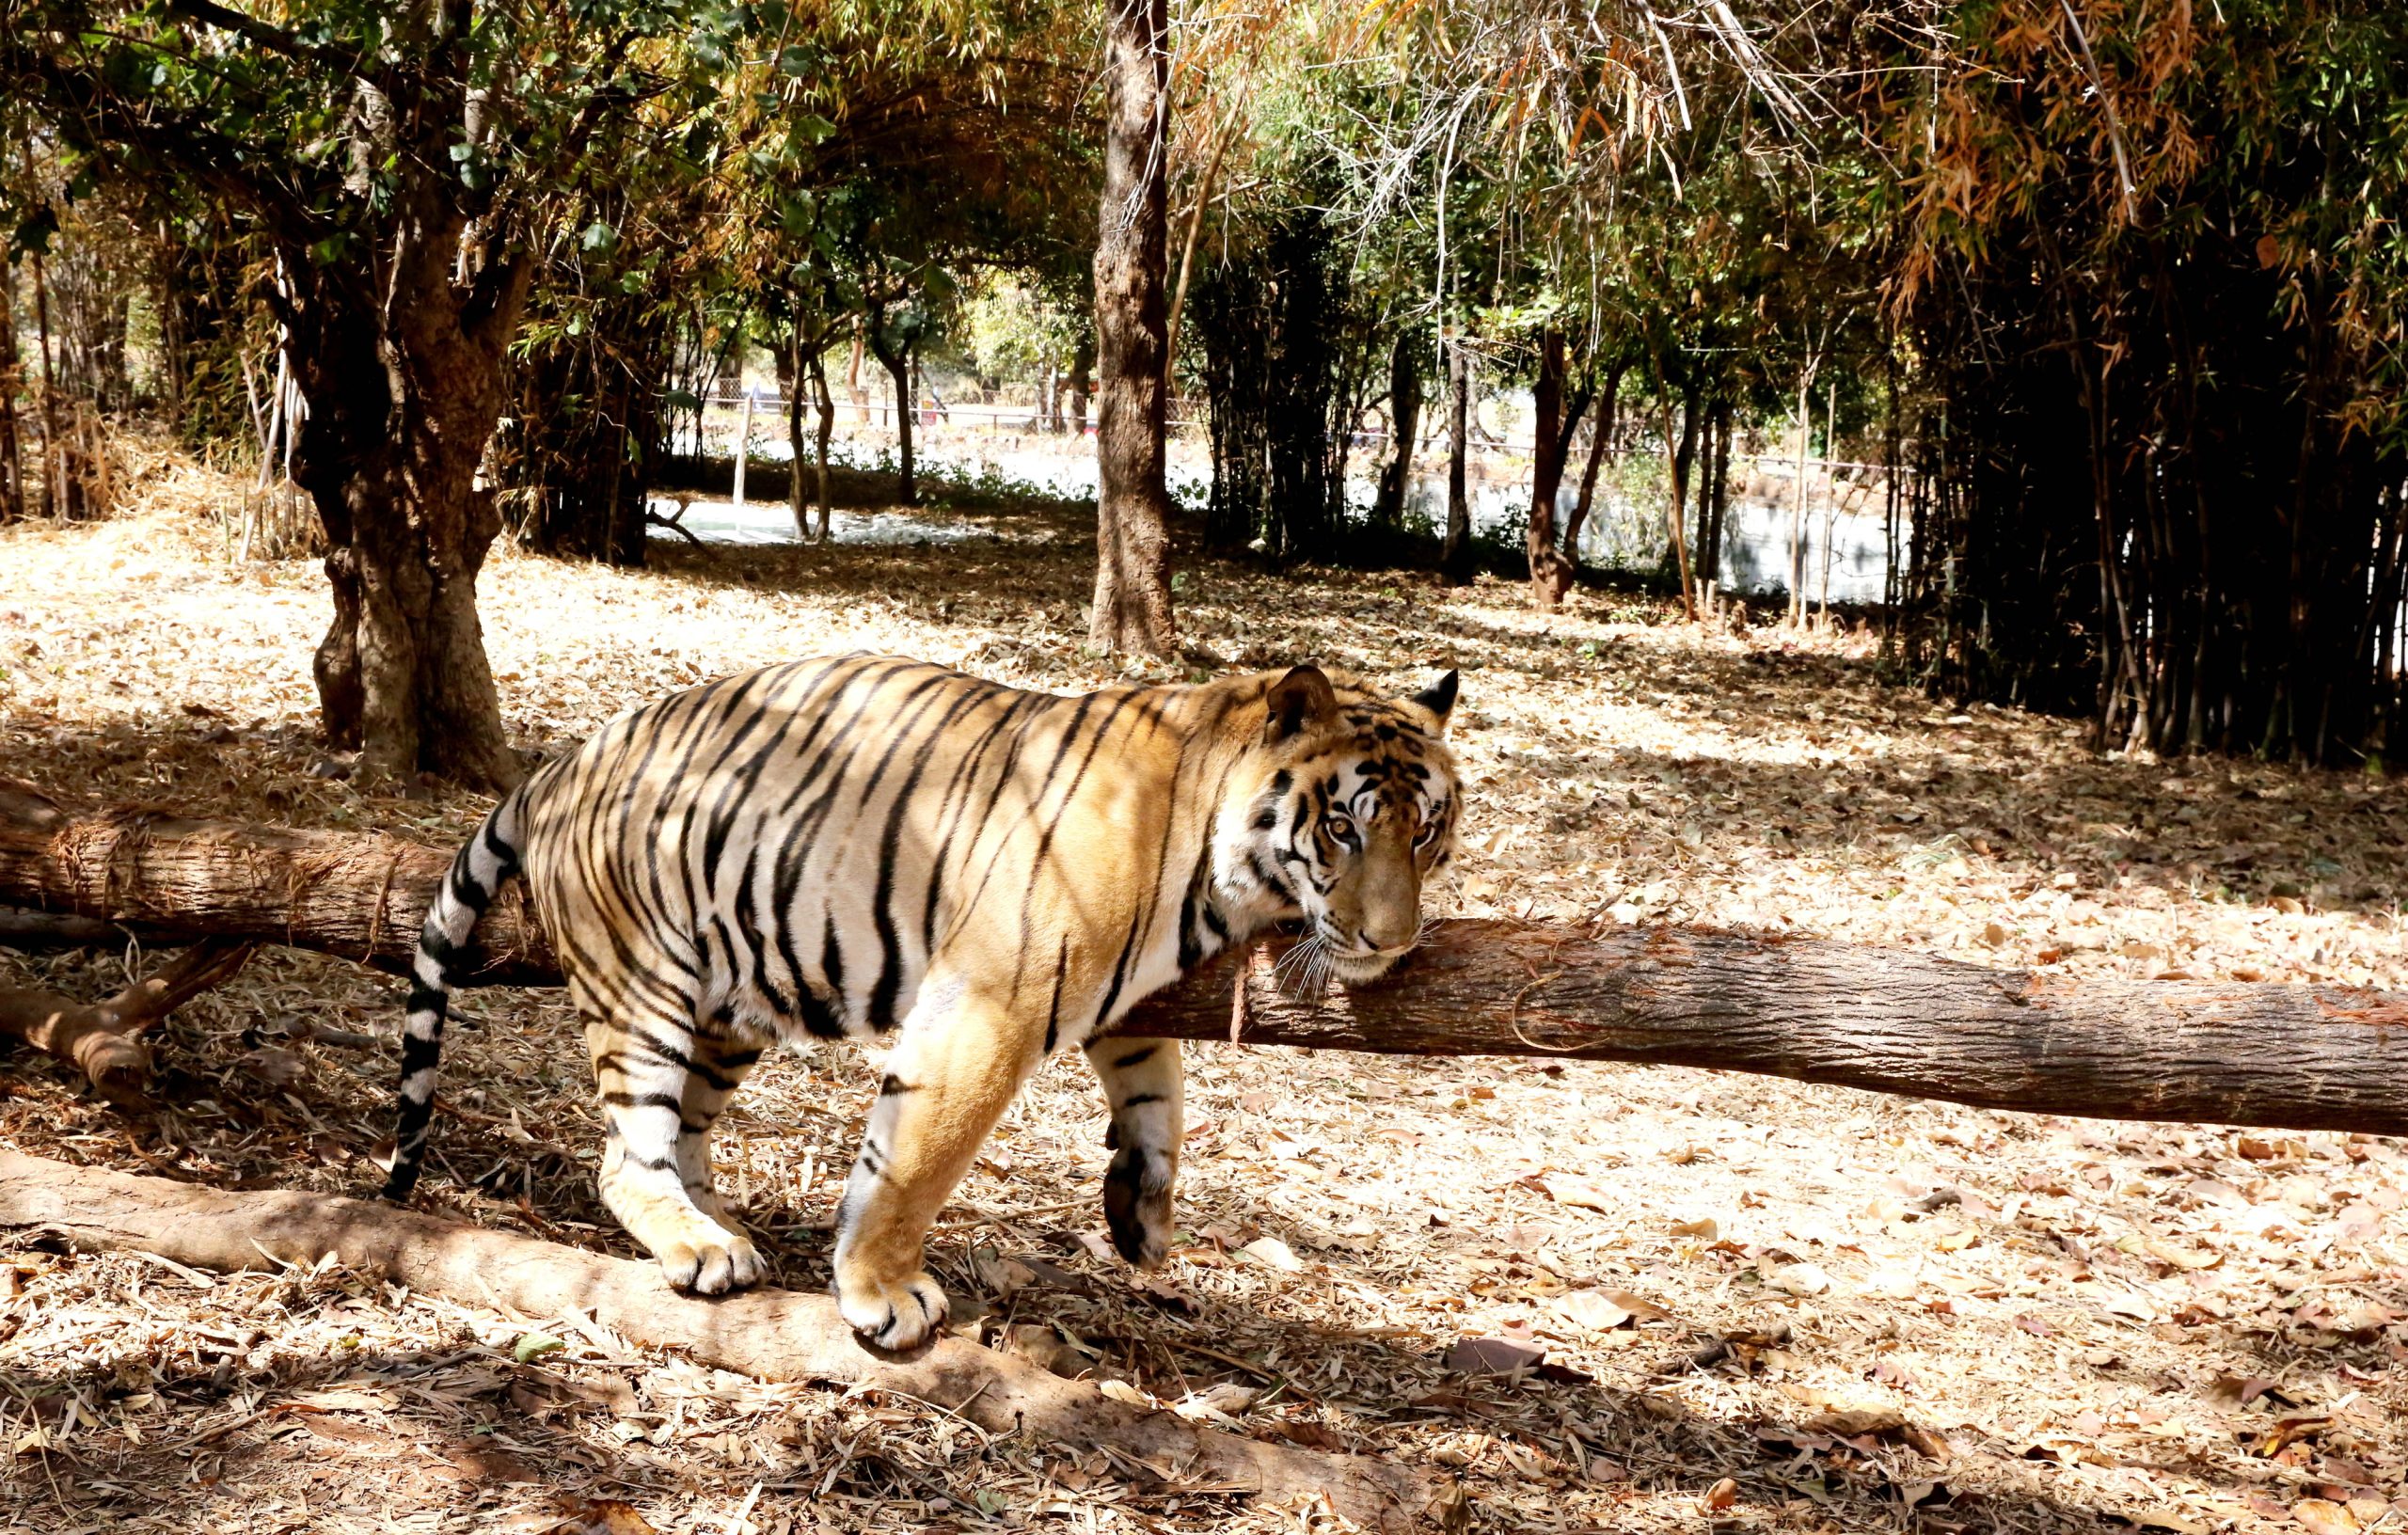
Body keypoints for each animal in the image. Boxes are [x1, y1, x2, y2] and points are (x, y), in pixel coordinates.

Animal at [381, 655, 1461, 1351]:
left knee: (684, 1133)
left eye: (1427, 829)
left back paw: (723, 1223)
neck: (1216, 861)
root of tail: (563, 761)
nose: (1392, 940)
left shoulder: (1120, 994)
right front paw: (880, 1290)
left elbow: (1161, 1093)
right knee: (623, 1154)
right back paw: (699, 1246)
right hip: (647, 984)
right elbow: (919, 1158)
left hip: (732, 1006)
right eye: (1343, 827)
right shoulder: (997, 998)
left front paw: (1141, 1216)